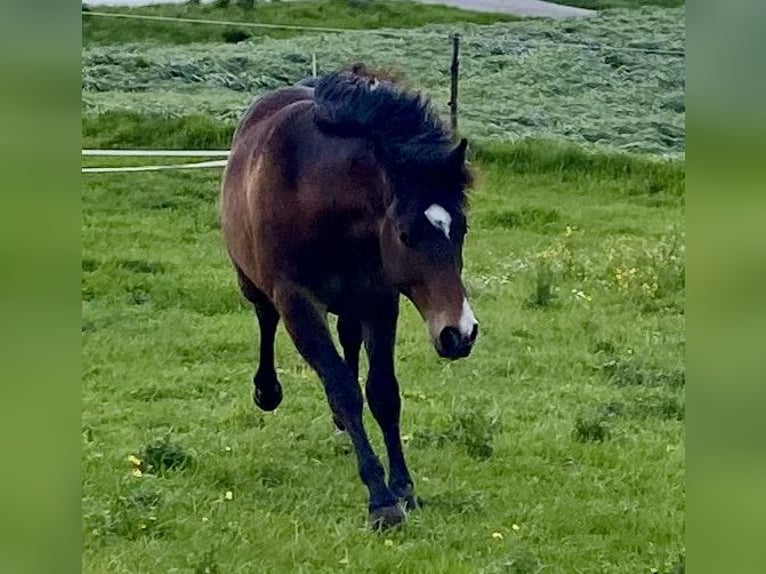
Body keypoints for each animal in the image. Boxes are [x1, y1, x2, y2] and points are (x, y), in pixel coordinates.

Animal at [218, 64, 480, 532]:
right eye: (406, 235)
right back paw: (268, 391)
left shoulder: (379, 301)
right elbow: (343, 387)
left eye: (461, 228)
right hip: (252, 281)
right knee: (265, 319)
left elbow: (382, 393)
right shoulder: (298, 305)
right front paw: (381, 500)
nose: (460, 333)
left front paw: (404, 488)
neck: (316, 198)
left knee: (349, 341)